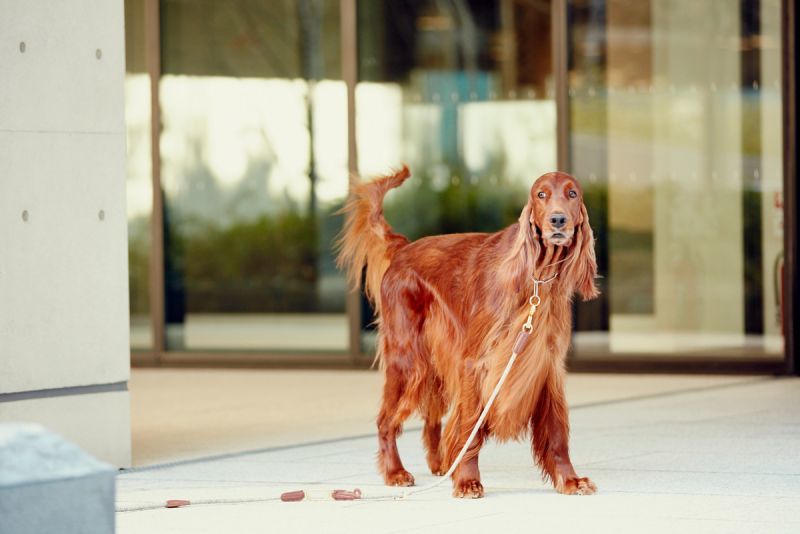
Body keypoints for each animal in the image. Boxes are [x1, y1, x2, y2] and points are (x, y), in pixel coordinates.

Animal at [338, 166, 600, 498]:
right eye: (541, 194)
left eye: (572, 193)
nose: (557, 220)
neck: (537, 277)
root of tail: (403, 249)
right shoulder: (475, 364)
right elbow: (469, 429)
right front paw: (466, 480)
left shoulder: (547, 365)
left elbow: (556, 432)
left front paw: (569, 480)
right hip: (408, 359)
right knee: (386, 420)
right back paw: (396, 472)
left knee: (432, 414)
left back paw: (440, 463)